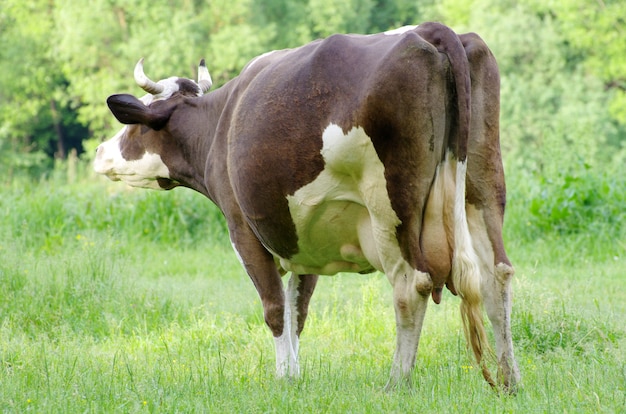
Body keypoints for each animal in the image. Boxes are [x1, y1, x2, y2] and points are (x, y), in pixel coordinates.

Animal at [95, 22, 520, 392]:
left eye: (134, 125)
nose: (99, 151)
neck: (218, 124)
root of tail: (430, 29)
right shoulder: (307, 238)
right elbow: (297, 311)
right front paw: (295, 374)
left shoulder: (242, 229)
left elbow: (274, 308)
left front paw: (284, 377)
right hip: (483, 185)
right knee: (495, 273)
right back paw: (509, 379)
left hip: (392, 204)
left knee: (411, 284)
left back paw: (396, 384)